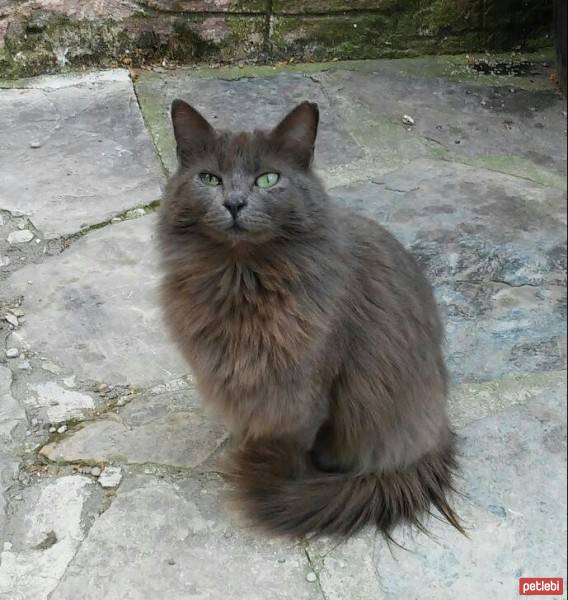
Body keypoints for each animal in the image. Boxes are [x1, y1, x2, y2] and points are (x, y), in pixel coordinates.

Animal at [158, 98, 464, 540]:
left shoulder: (307, 388)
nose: (233, 203)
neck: (242, 282)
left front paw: (282, 477)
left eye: (268, 179)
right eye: (210, 178)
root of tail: (439, 431)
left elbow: (297, 443)